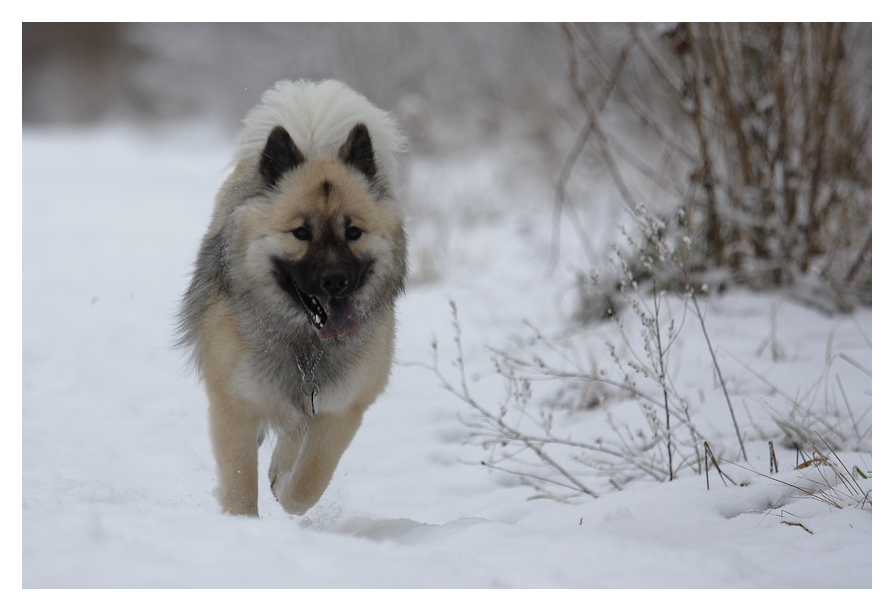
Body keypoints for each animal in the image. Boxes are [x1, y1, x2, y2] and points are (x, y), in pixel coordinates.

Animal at [178, 80, 410, 516]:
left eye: (353, 232)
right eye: (301, 233)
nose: (335, 281)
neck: (305, 345)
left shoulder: (341, 407)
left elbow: (309, 479)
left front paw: (285, 486)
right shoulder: (234, 404)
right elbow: (239, 481)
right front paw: (241, 521)